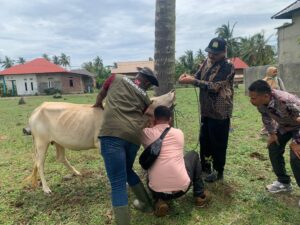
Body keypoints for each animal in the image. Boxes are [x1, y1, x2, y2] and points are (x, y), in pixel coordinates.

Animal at [25, 90, 176, 194]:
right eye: (153, 100)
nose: (172, 91)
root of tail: (36, 110)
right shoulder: (102, 144)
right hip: (41, 142)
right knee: (39, 163)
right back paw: (46, 189)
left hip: (58, 141)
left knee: (60, 157)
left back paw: (77, 173)